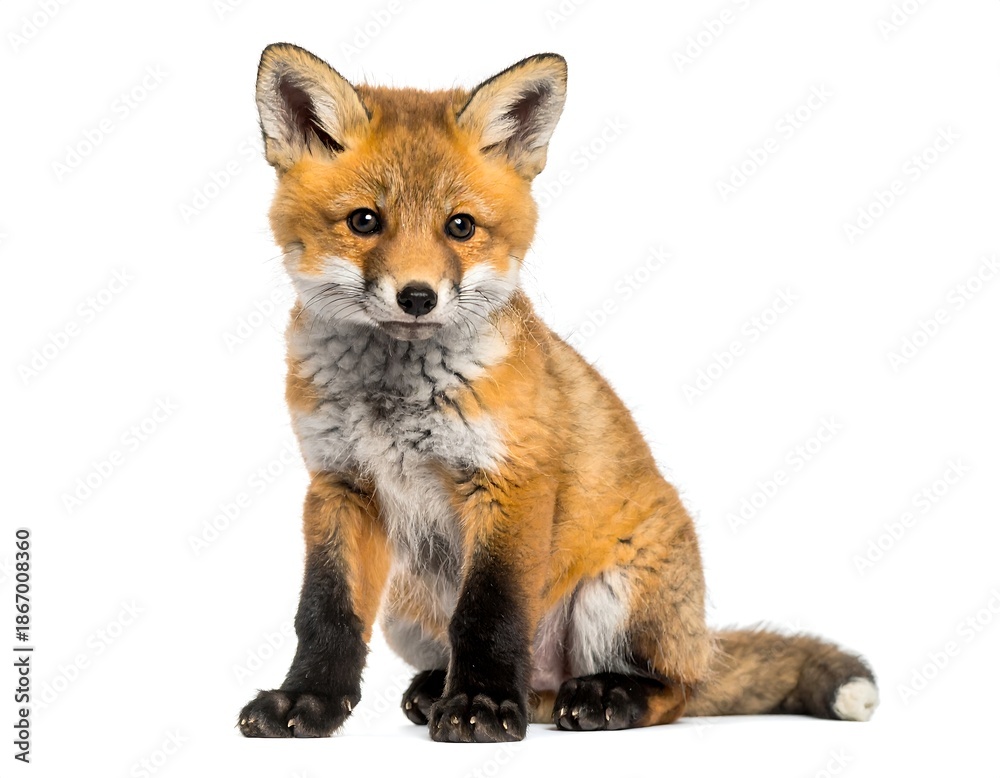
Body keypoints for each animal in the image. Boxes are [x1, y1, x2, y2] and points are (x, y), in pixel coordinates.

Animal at [237, 43, 879, 742]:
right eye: (364, 221)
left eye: (460, 226)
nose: (417, 297)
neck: (394, 399)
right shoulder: (339, 485)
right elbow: (326, 615)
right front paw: (307, 701)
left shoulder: (510, 481)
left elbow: (489, 615)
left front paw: (482, 705)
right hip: (407, 608)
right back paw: (438, 690)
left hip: (615, 599)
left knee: (674, 692)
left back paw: (600, 696)